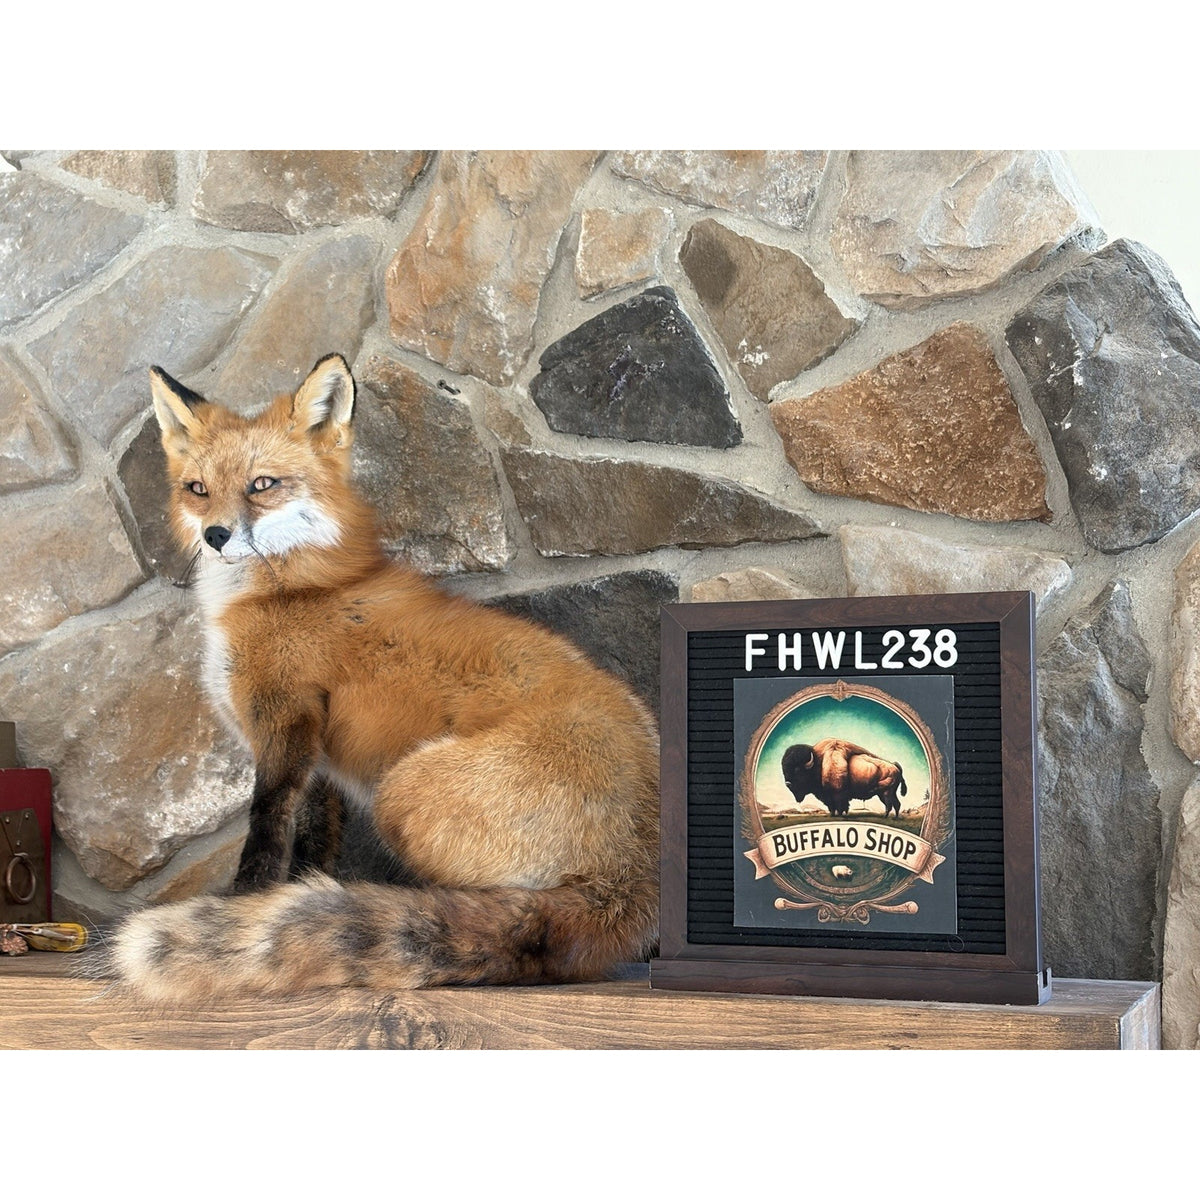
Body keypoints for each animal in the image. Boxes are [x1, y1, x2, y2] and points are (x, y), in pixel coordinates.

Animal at [98, 354, 659, 1002]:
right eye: (197, 490)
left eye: (262, 485)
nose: (216, 536)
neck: (288, 587)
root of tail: (635, 873)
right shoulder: (317, 761)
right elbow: (311, 847)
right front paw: (283, 900)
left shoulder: (283, 720)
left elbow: (265, 827)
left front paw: (245, 902)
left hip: (402, 788)